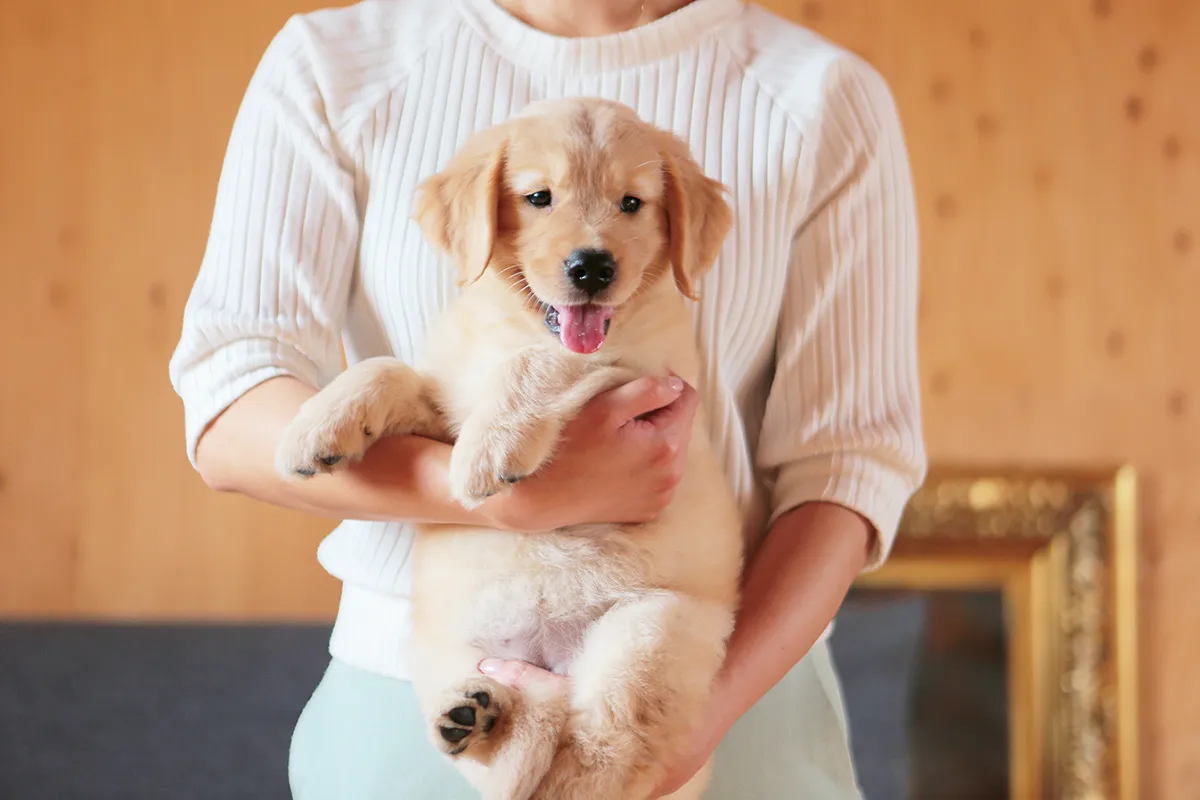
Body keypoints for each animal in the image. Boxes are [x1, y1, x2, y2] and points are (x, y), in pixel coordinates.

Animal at [277, 97, 744, 796]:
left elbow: (541, 361)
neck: (507, 324)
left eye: (632, 203)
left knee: (591, 757)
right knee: (515, 754)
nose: (592, 267)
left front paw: (488, 451)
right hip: (446, 649)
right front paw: (318, 424)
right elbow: (391, 370)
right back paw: (476, 718)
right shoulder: (445, 404)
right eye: (539, 197)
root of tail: (551, 660)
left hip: (655, 632)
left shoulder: (637, 365)